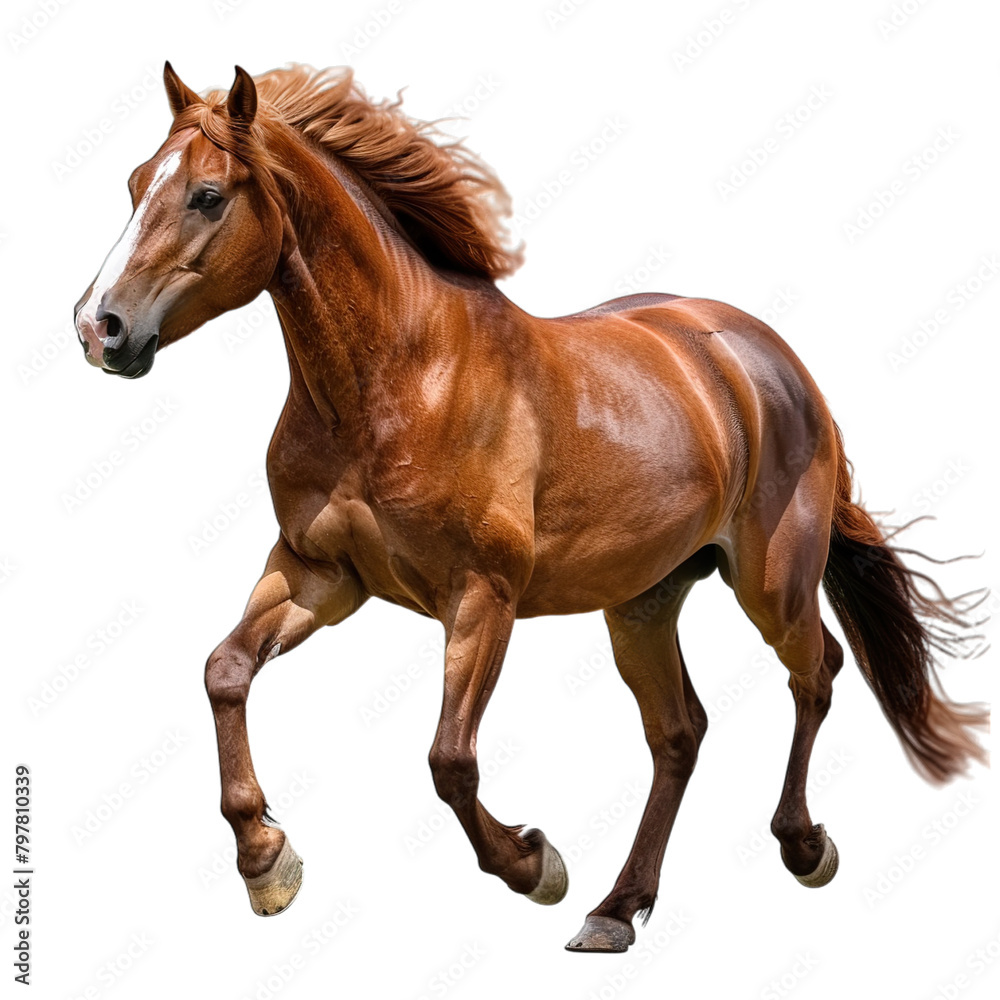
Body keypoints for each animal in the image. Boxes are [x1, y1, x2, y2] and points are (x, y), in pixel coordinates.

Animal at [74, 62, 988, 953]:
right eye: (134, 183)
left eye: (206, 195)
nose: (98, 328)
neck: (395, 383)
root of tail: (775, 363)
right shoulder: (319, 575)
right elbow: (225, 671)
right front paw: (267, 861)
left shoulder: (482, 597)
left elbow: (450, 760)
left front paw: (533, 864)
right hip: (643, 601)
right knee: (679, 732)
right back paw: (617, 909)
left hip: (773, 583)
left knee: (817, 672)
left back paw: (801, 846)